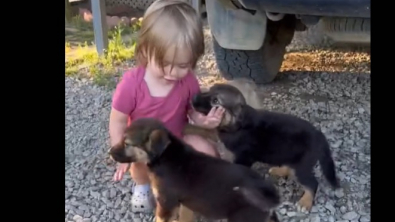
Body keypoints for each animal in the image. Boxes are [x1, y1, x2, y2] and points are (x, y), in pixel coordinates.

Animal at [191, 83, 340, 212]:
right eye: (209, 90)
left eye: (215, 101)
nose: (193, 98)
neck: (236, 125)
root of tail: (319, 135)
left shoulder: (243, 158)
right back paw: (280, 171)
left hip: (302, 166)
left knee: (312, 184)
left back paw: (305, 202)